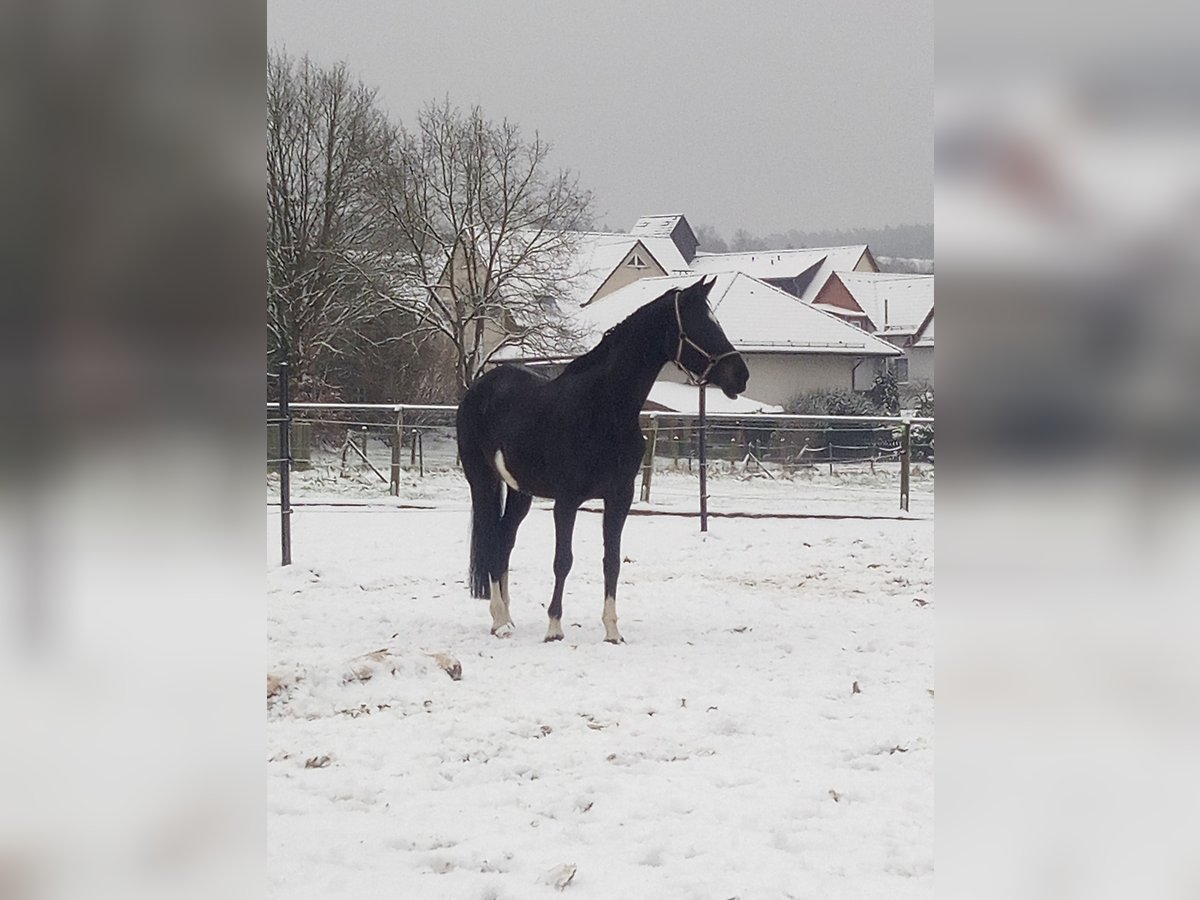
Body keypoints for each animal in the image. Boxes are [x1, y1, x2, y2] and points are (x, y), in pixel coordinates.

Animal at [451, 278, 744, 643]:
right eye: (700, 325)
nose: (741, 375)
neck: (603, 409)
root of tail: (478, 389)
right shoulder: (566, 501)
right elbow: (563, 560)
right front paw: (554, 628)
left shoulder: (620, 497)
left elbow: (612, 561)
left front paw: (612, 631)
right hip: (482, 481)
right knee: (492, 540)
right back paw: (500, 622)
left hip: (521, 491)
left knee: (504, 541)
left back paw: (506, 617)